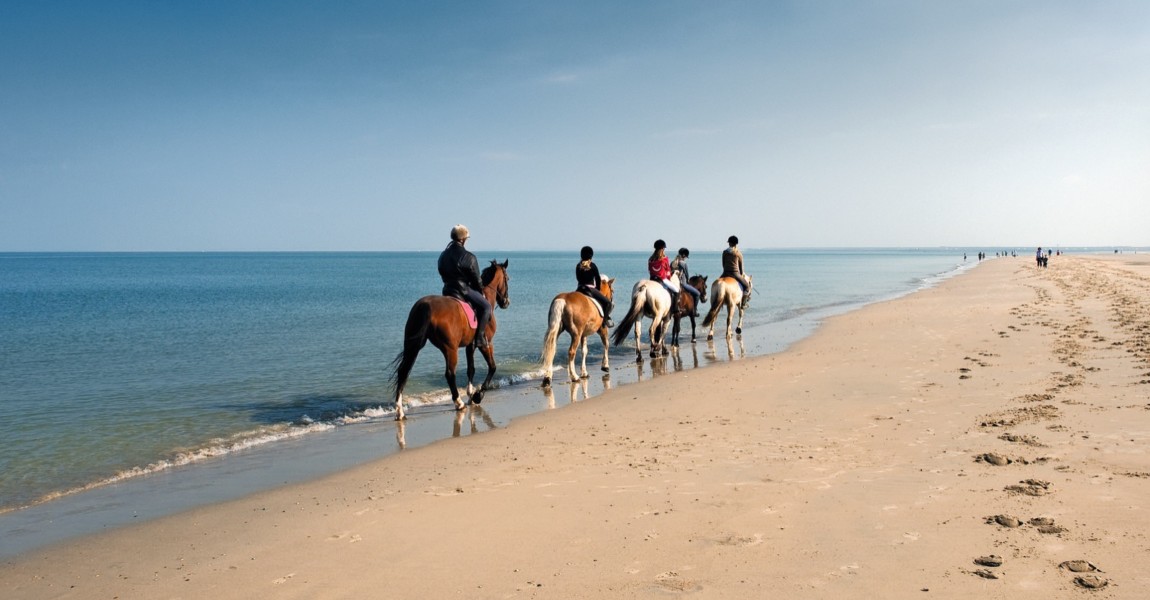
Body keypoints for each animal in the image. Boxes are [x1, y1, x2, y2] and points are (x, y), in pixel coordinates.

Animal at [388, 258, 510, 418]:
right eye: (507, 279)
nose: (506, 302)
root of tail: (425, 305)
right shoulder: (486, 343)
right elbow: (492, 367)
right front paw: (478, 395)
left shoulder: (470, 345)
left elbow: (471, 369)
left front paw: (471, 395)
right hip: (450, 349)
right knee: (450, 374)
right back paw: (458, 403)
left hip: (413, 345)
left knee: (403, 372)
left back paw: (399, 410)